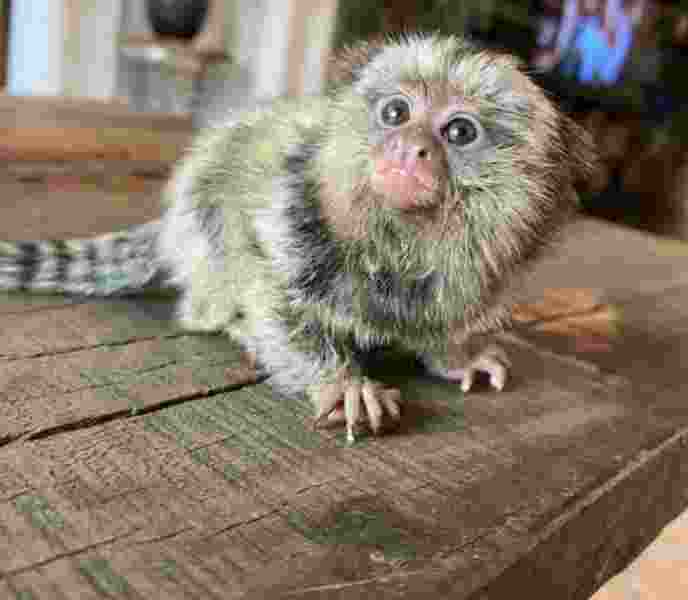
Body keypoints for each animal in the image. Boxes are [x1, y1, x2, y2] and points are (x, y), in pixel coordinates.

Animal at [0, 34, 595, 442]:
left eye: (459, 132)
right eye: (396, 112)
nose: (409, 148)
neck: (398, 243)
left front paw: (457, 357)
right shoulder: (288, 220)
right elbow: (273, 295)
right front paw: (341, 382)